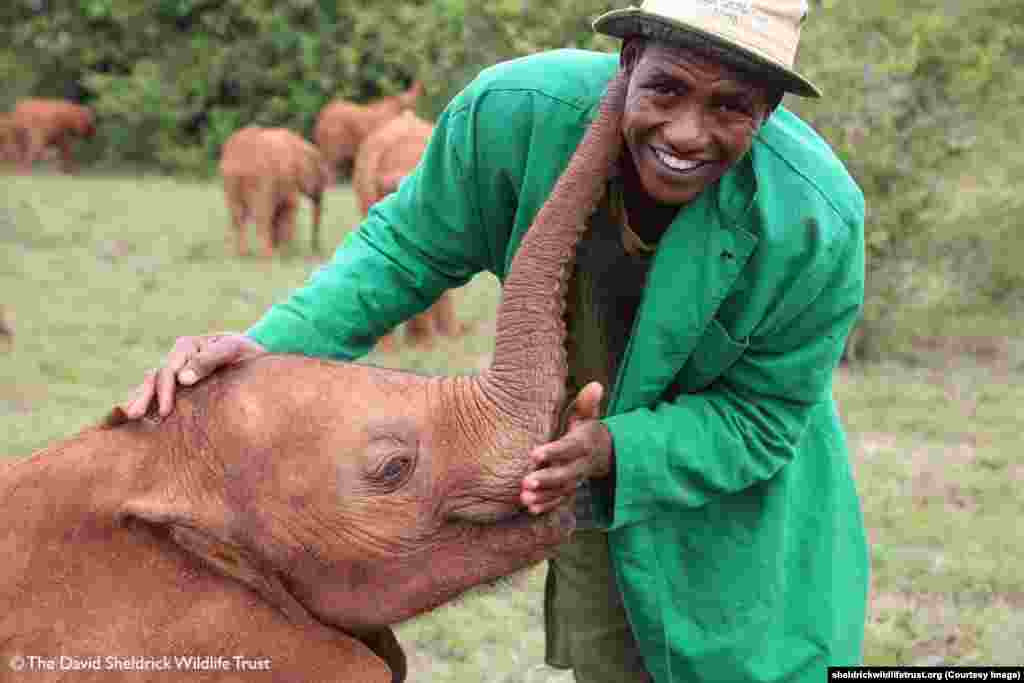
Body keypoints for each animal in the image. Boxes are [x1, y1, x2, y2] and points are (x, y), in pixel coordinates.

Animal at [218, 126, 329, 258]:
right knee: (263, 215)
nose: (316, 251)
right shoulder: (288, 178)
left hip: (231, 180)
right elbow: (289, 207)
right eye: (319, 173)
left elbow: (278, 213)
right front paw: (288, 252)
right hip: (261, 179)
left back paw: (244, 254)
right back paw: (268, 255)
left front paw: (282, 250)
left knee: (237, 215)